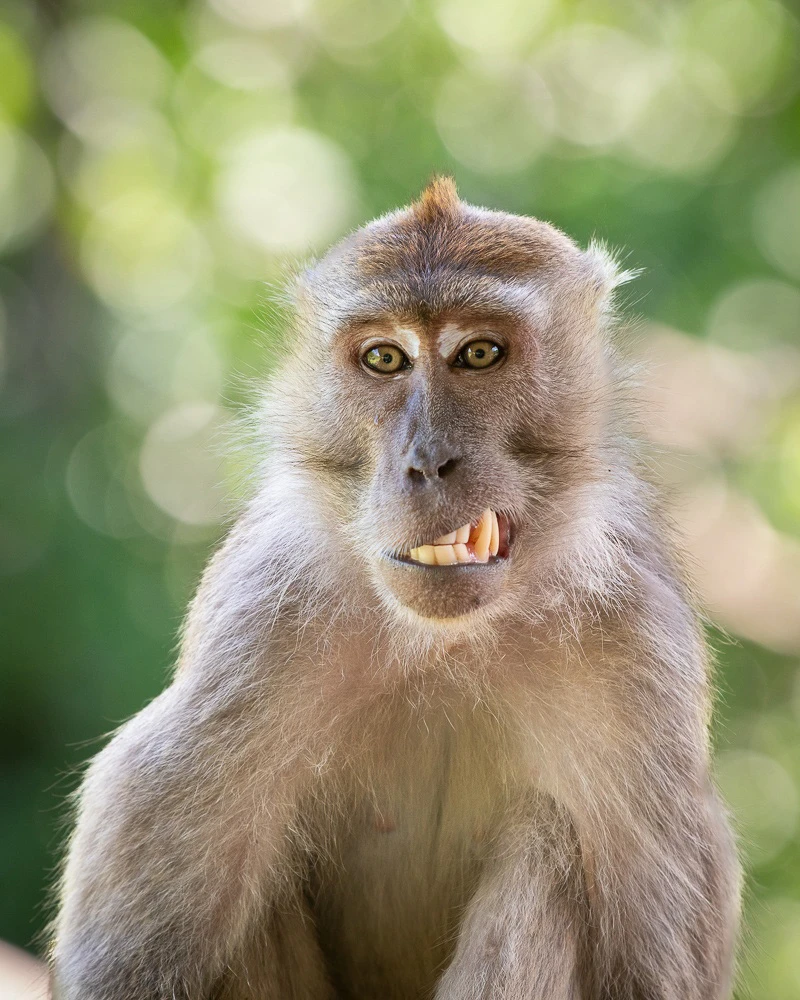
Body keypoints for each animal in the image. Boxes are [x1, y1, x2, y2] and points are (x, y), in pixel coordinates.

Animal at [50, 178, 741, 1000]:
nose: (425, 461)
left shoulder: (639, 647)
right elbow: (128, 962)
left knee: (547, 844)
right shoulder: (258, 619)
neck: (445, 643)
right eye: (385, 358)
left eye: (479, 353)